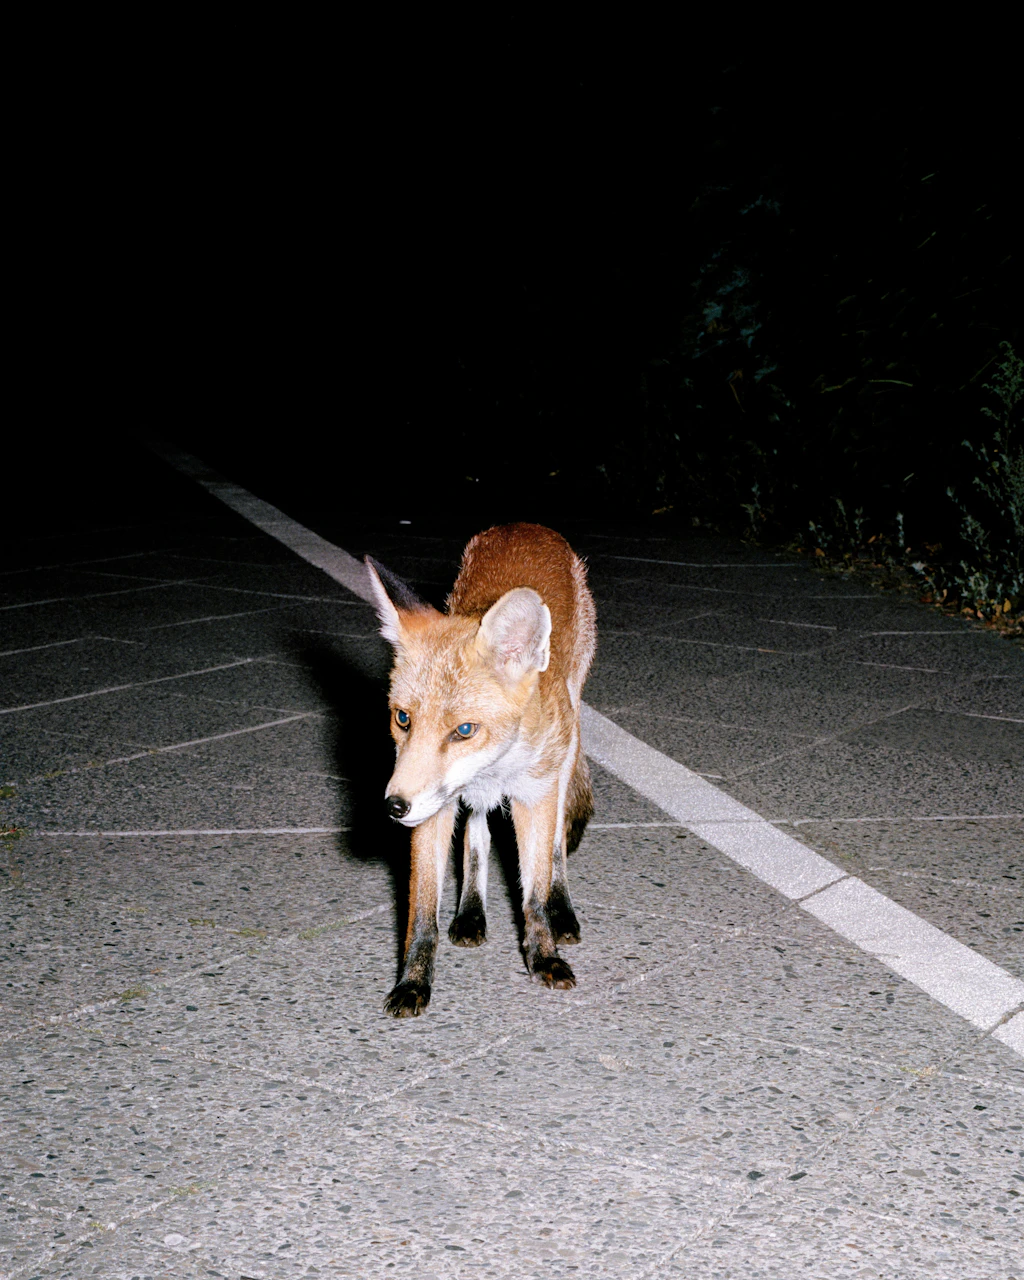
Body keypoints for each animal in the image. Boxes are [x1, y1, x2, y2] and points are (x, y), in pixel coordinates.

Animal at [365, 522, 597, 1018]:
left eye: (464, 730)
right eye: (403, 718)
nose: (394, 807)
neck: (495, 768)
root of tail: (527, 525)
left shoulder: (535, 792)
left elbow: (534, 892)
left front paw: (543, 956)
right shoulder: (434, 807)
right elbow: (422, 914)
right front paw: (413, 982)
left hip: (567, 752)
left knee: (557, 846)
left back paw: (563, 910)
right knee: (477, 834)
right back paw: (471, 912)